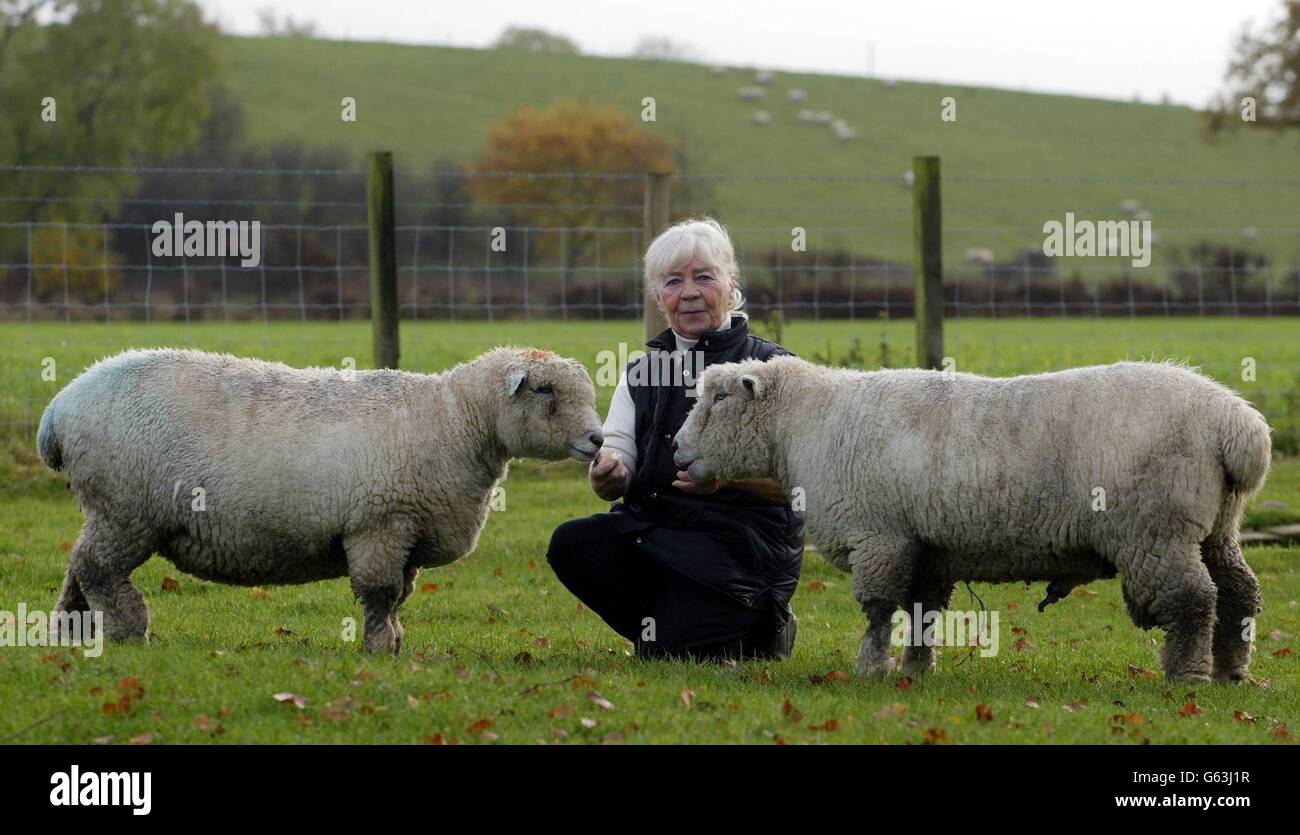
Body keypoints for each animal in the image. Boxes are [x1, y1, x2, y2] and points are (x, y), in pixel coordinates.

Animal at [40, 343, 603, 650]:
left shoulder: (407, 532)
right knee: (97, 568)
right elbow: (380, 593)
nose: (598, 440)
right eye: (545, 390)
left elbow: (401, 594)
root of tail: (59, 408)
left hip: (109, 511)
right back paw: (127, 628)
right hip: (125, 507)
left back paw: (71, 631)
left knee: (77, 563)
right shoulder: (380, 524)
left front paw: (395, 641)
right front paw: (379, 648)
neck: (455, 420)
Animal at [676, 353, 1274, 681]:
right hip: (1216, 525)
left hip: (1156, 530)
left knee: (1193, 599)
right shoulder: (922, 546)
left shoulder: (879, 536)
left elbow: (878, 610)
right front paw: (916, 670)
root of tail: (1237, 423)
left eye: (720, 398)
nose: (676, 451)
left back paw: (1189, 675)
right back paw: (1231, 671)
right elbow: (921, 612)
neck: (805, 426)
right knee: (1239, 591)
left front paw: (870, 668)